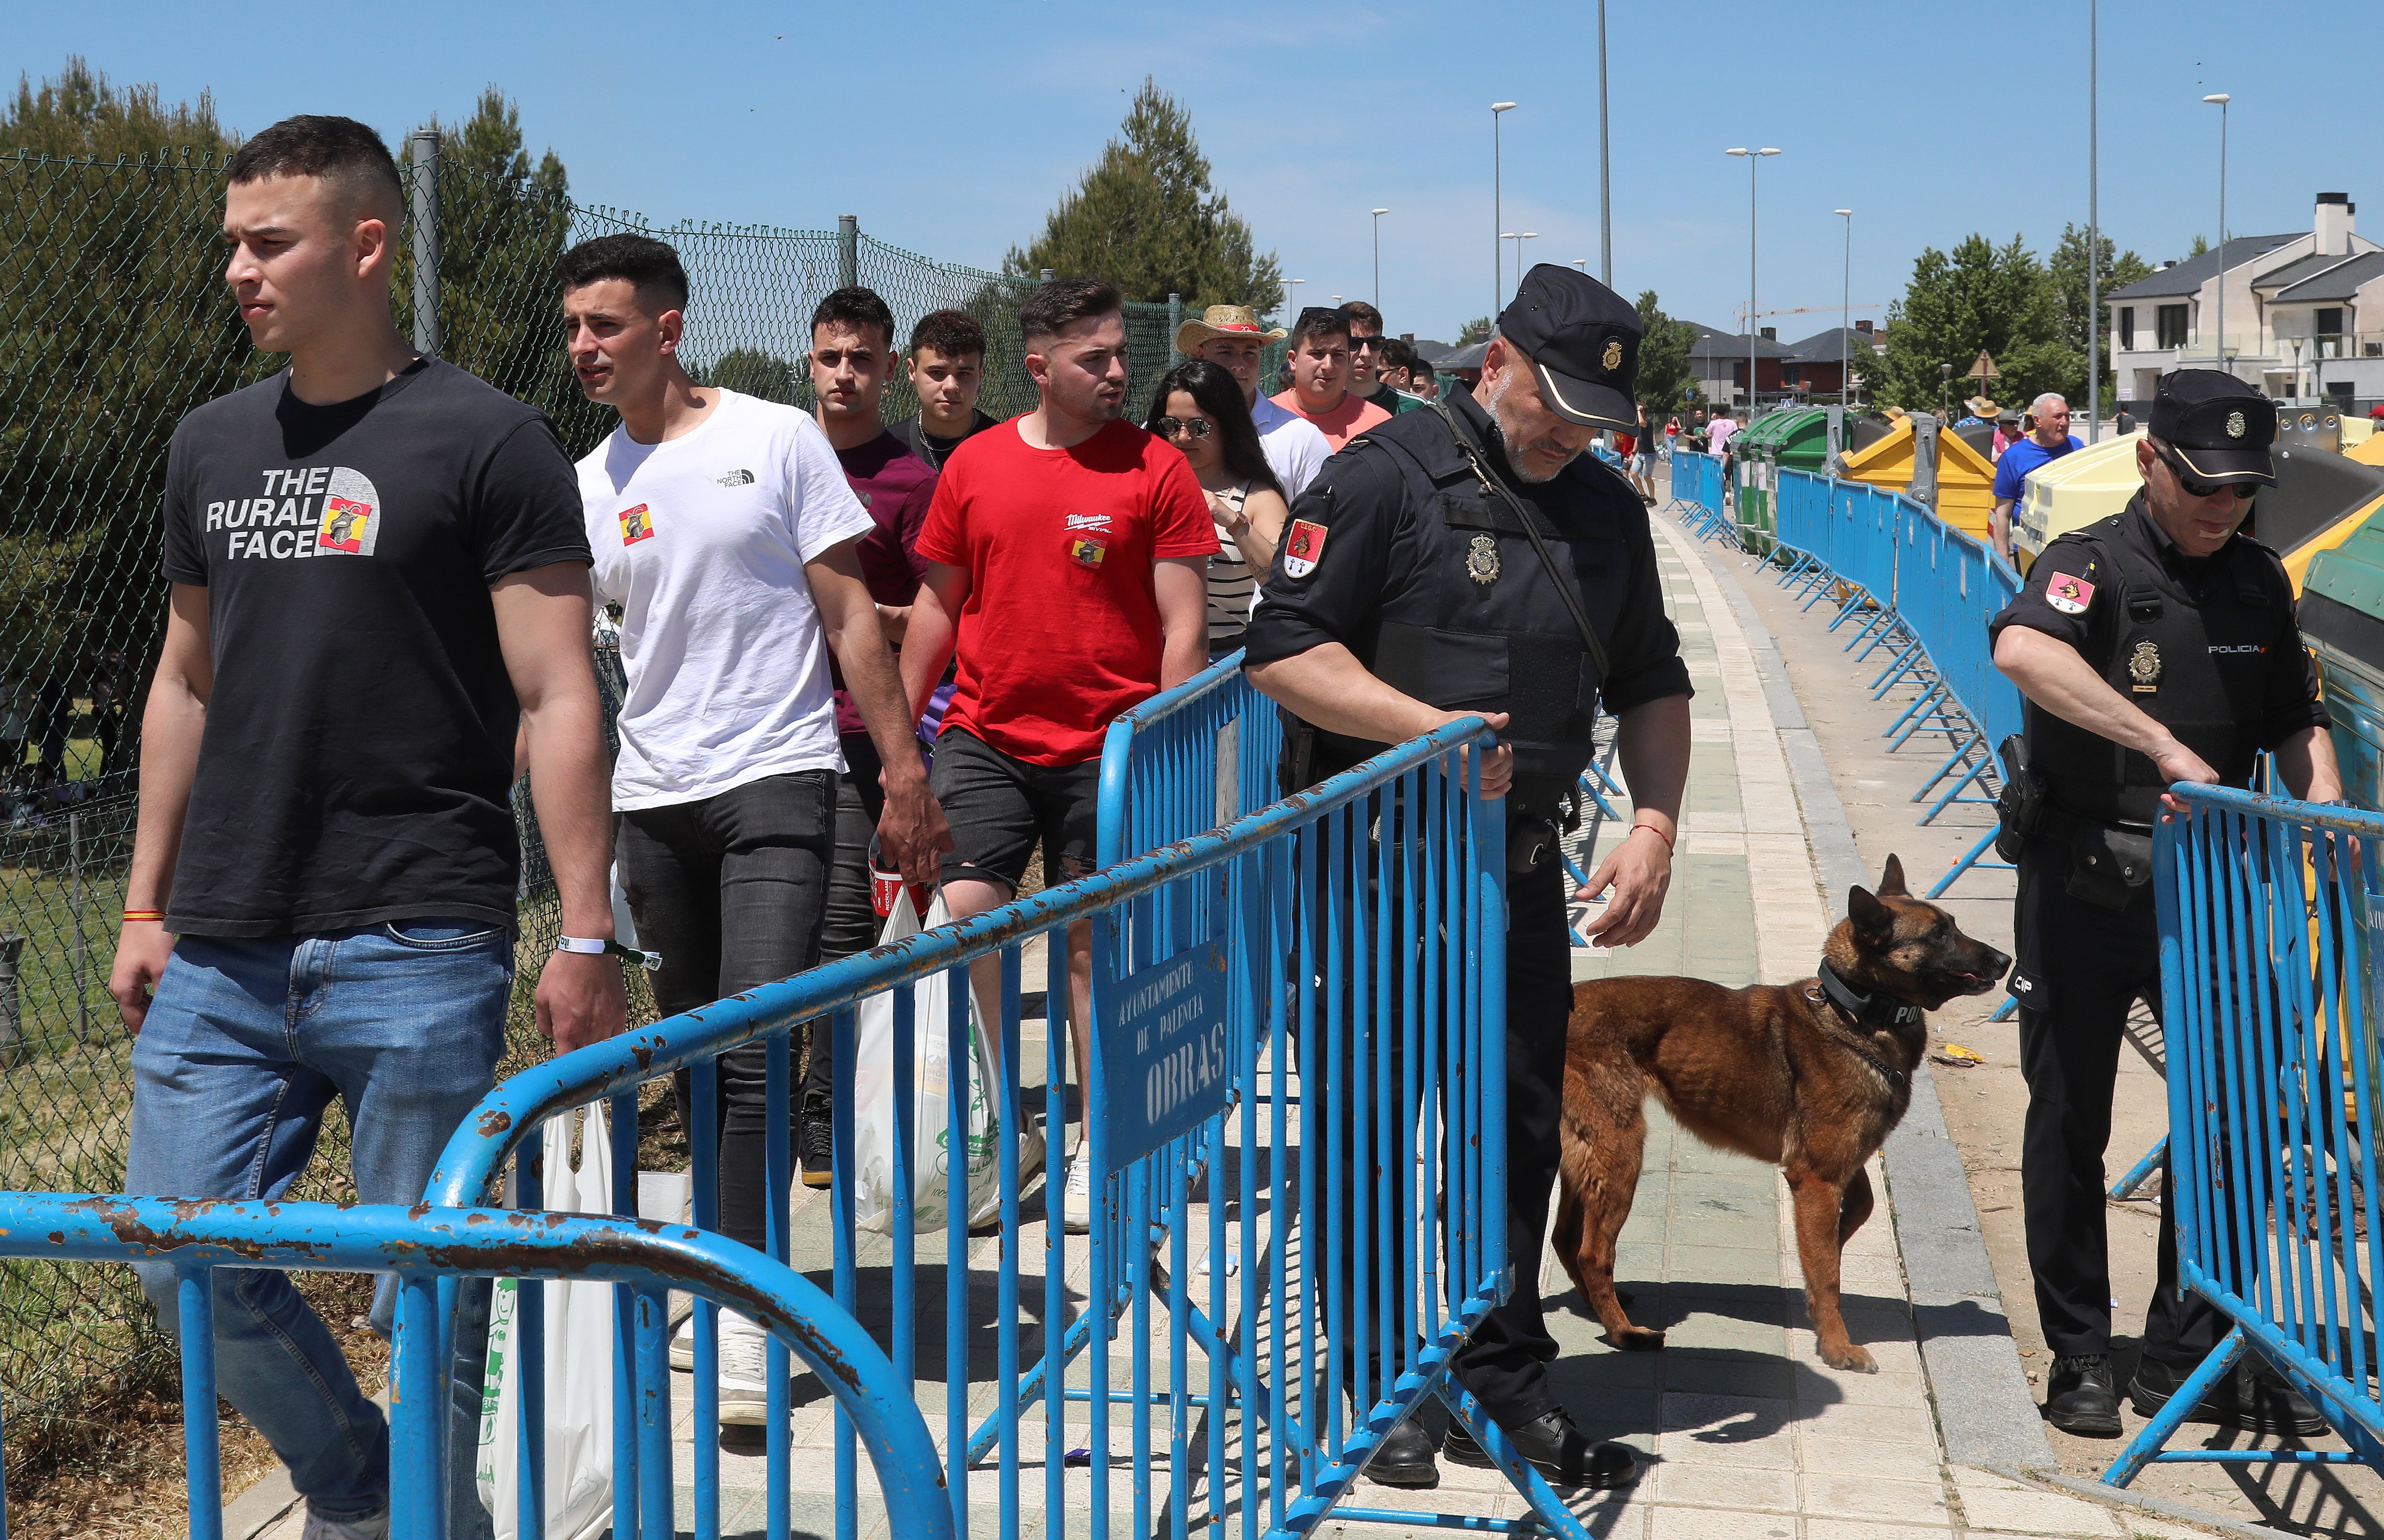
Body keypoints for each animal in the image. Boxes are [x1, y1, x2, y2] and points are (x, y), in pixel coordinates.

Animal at [1554, 858, 2003, 1373]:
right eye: (1938, 935)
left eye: (1954, 925)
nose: (2005, 961)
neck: (1855, 1014)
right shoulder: (1818, 1177)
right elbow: (1828, 1272)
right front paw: (1836, 1345)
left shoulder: (1833, 1168)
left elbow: (1855, 1216)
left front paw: (1827, 1260)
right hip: (1620, 1154)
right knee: (1593, 1252)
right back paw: (1624, 1332)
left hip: (1586, 1160)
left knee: (1565, 1239)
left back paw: (1598, 1305)